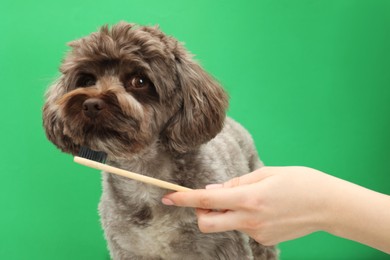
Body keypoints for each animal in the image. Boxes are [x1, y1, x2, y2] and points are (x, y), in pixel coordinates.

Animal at [42, 22, 278, 260]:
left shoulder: (226, 247)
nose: (91, 104)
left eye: (139, 81)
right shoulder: (128, 250)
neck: (144, 177)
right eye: (88, 80)